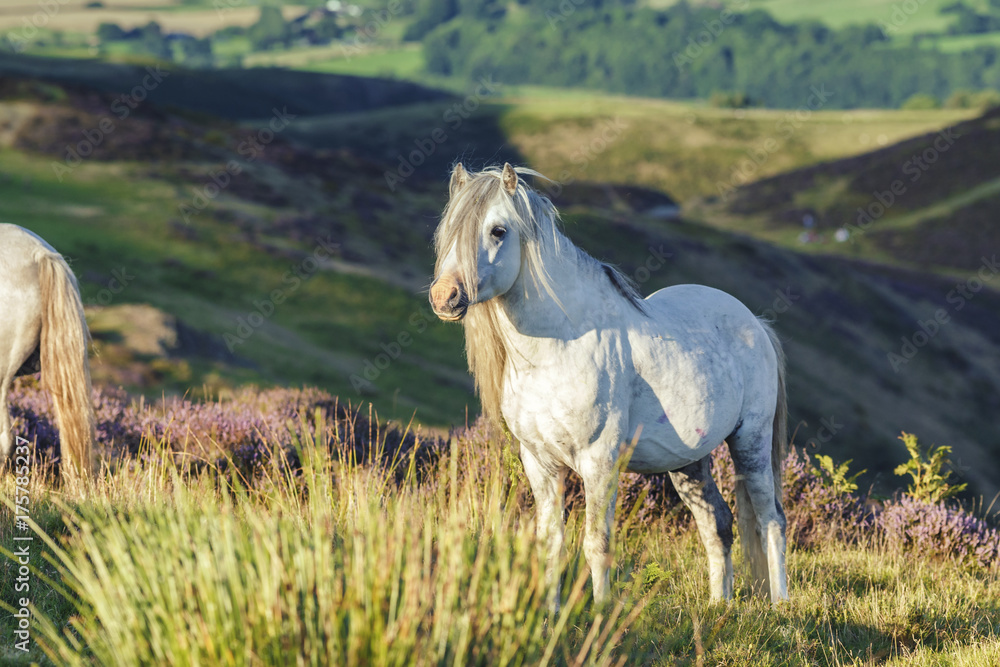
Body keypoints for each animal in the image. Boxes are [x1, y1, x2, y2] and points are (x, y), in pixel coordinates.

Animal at [429, 163, 788, 609]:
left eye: (498, 230)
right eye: (447, 230)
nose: (445, 297)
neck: (559, 346)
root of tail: (756, 323)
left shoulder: (598, 462)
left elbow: (596, 544)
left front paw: (600, 612)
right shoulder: (540, 463)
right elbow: (551, 542)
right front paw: (551, 612)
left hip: (750, 442)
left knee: (771, 519)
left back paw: (781, 604)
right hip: (689, 463)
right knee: (717, 524)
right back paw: (717, 605)